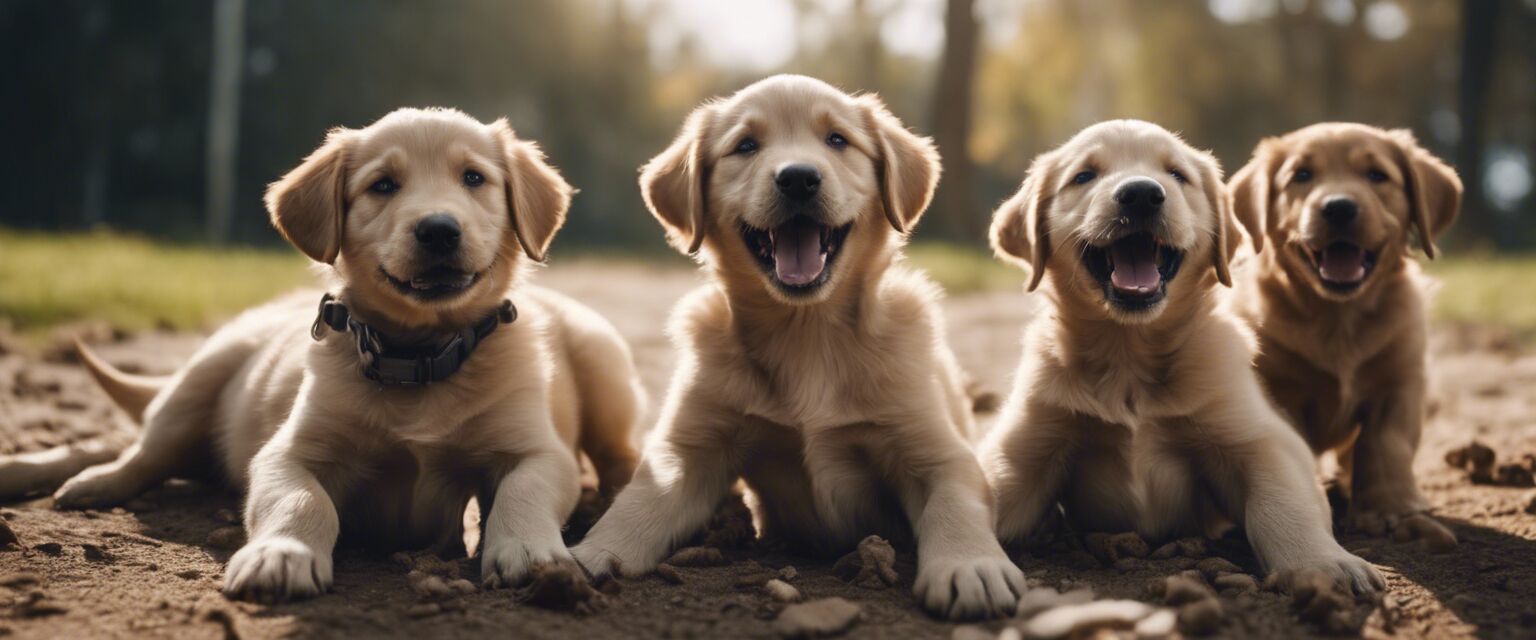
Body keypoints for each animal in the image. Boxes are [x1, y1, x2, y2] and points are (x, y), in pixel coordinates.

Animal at [0, 107, 642, 601]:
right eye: (383, 185)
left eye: (473, 178)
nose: (438, 229)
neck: (418, 359)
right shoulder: (287, 452)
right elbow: (304, 500)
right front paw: (281, 556)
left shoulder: (539, 450)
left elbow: (522, 490)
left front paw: (529, 552)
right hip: (200, 379)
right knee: (139, 450)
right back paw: (85, 481)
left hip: (603, 363)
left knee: (617, 454)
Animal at [571, 74, 1026, 620]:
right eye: (746, 146)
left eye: (837, 140)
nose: (798, 179)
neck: (807, 333)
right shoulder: (691, 445)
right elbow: (640, 501)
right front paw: (591, 553)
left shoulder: (936, 450)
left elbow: (954, 501)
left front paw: (970, 565)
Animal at [976, 119, 1388, 592]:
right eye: (1084, 176)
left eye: (1176, 174)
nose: (1140, 194)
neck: (1129, 354)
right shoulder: (1023, 450)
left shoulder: (1259, 437)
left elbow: (1282, 502)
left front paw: (1323, 562)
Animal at [1222, 122, 1462, 546]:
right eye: (1301, 175)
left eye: (1377, 175)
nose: (1338, 207)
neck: (1338, 317)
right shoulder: (1280, 390)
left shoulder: (1399, 383)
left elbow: (1385, 447)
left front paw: (1387, 508)